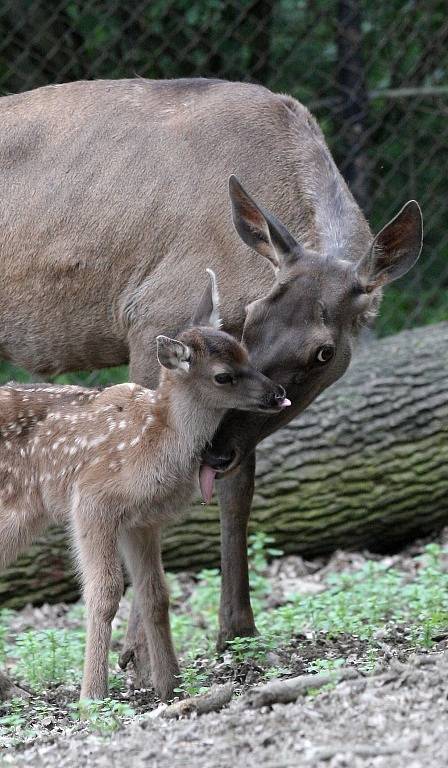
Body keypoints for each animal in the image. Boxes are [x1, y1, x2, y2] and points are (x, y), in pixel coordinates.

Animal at [0, 78, 424, 680]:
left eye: (323, 353)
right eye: (252, 319)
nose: (216, 450)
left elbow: (238, 490)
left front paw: (238, 631)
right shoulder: (150, 317)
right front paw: (139, 654)